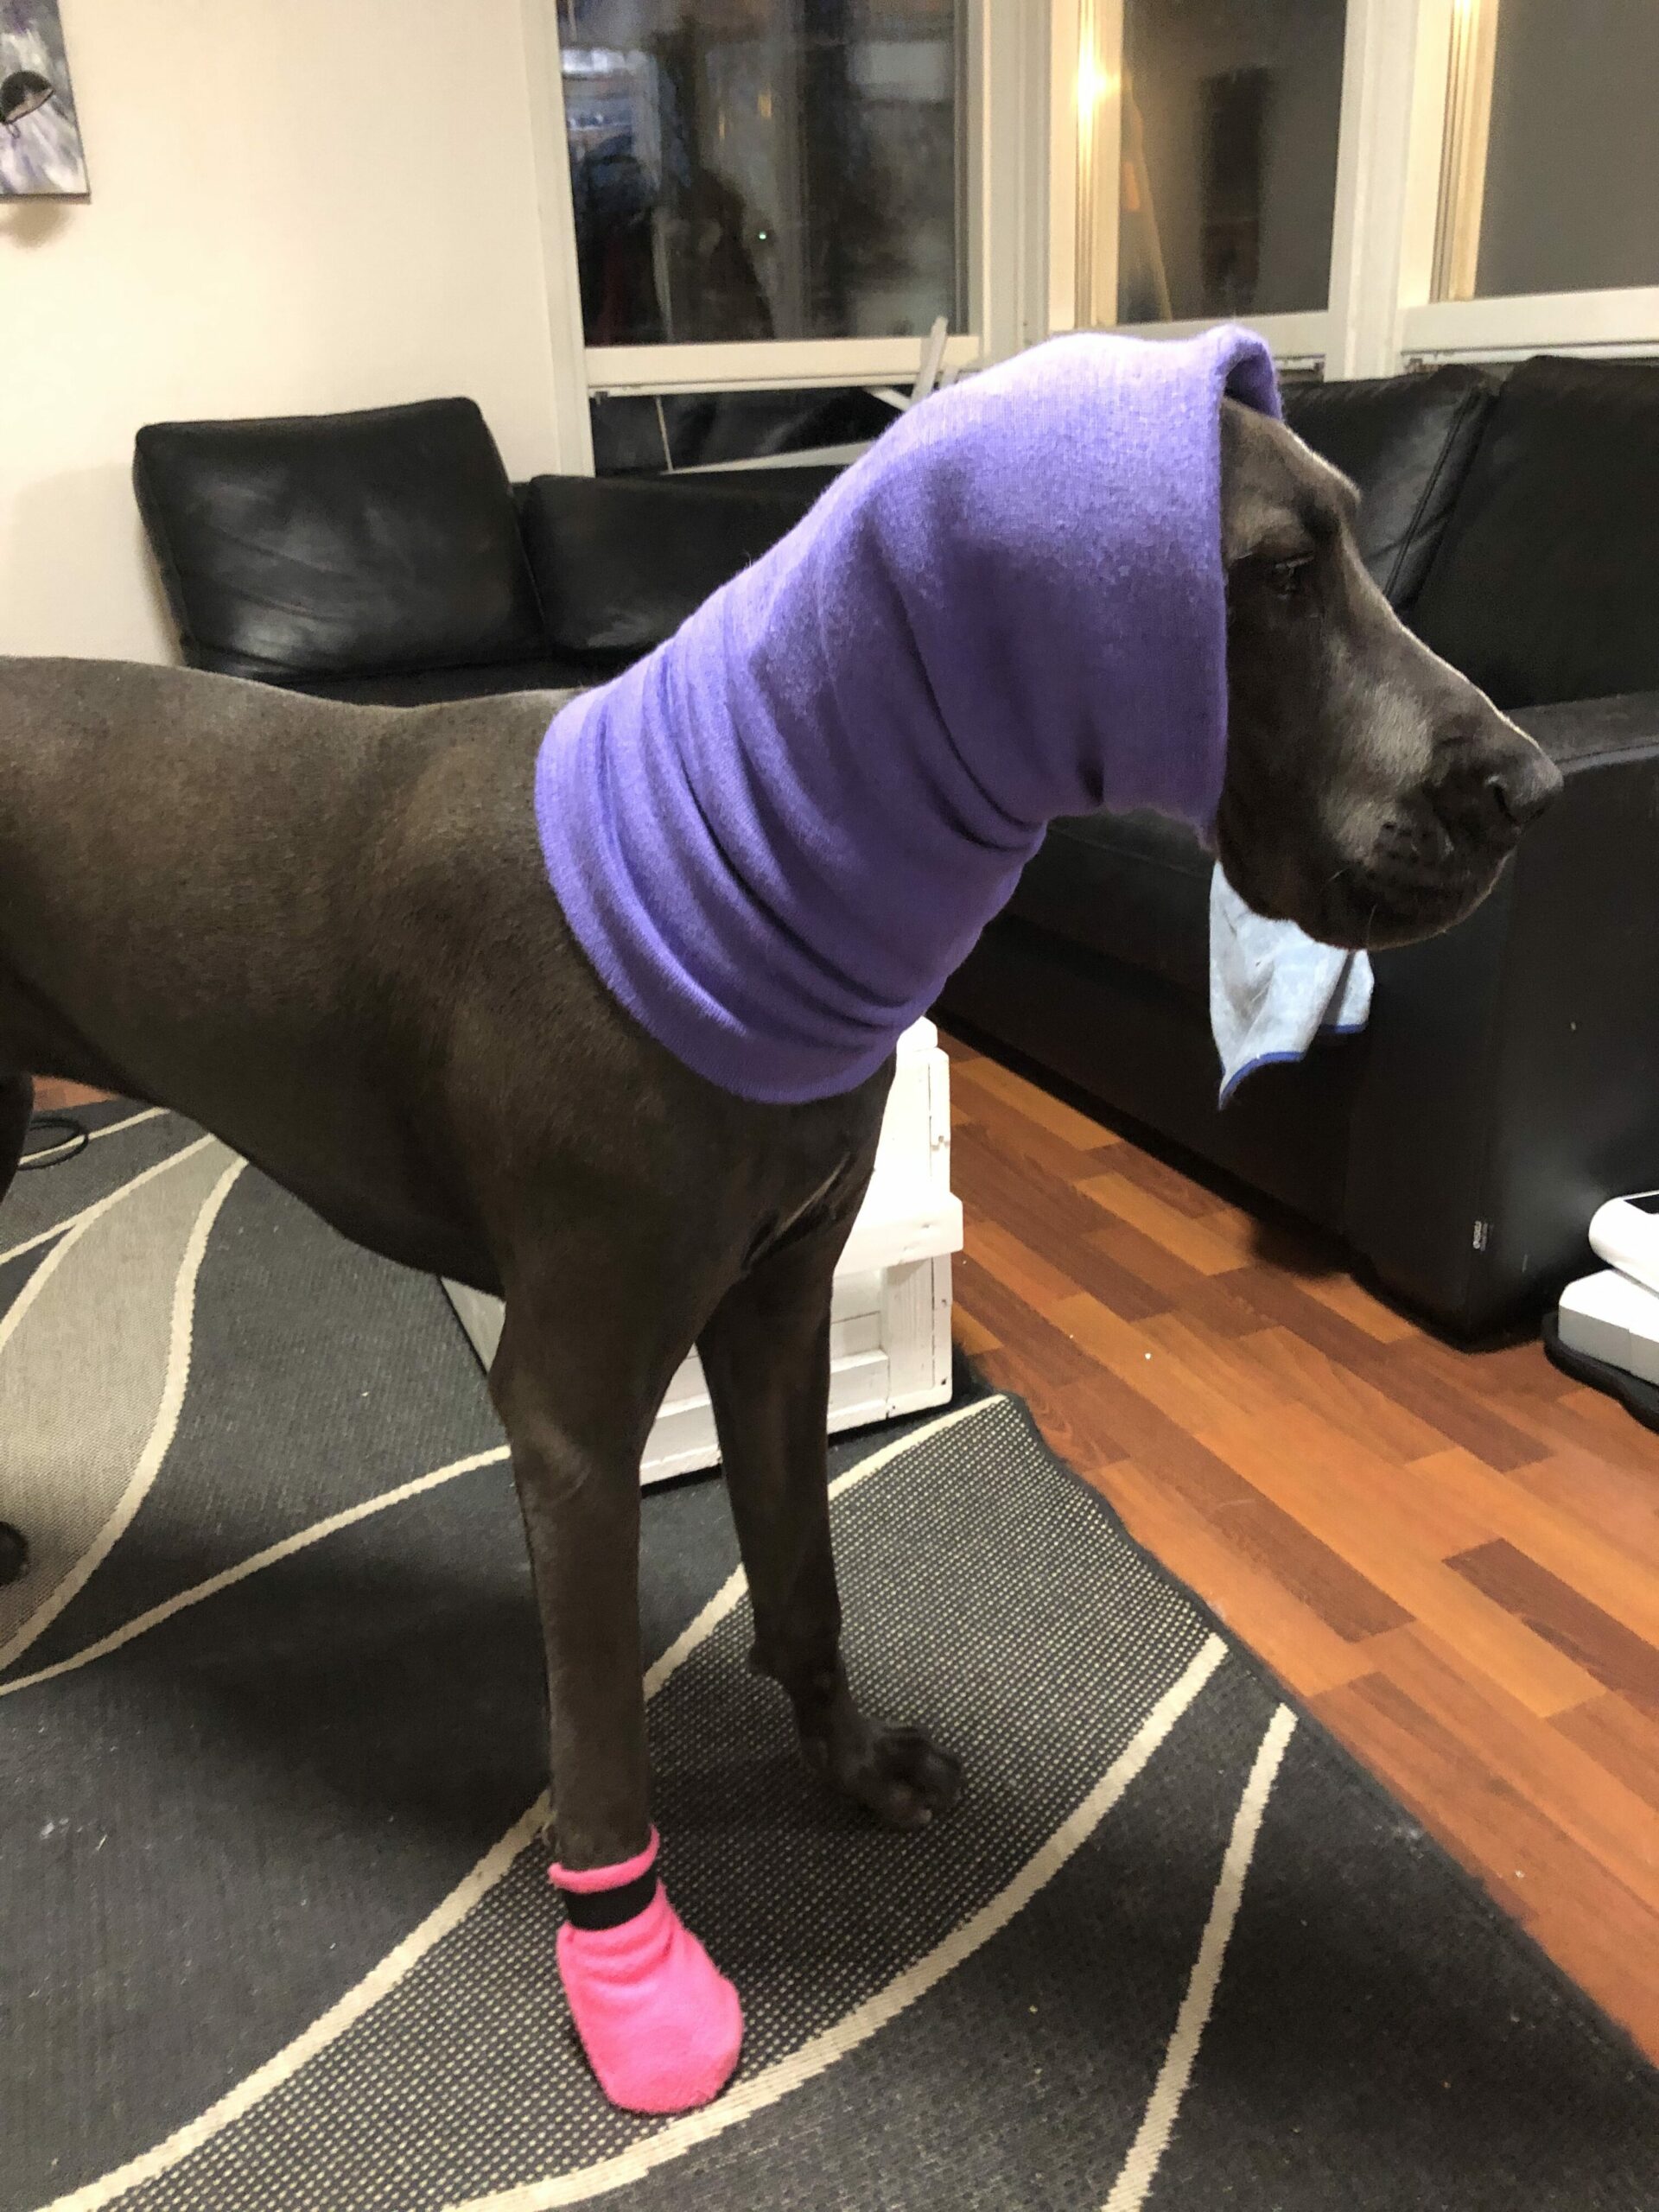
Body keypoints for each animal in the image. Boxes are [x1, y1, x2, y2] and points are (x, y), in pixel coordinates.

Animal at [0, 342, 1559, 2111]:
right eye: (1280, 576)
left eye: (1358, 544)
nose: (1532, 786)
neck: (744, 855)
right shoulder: (572, 1411)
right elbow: (601, 1748)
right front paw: (632, 1984)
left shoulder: (774, 1311)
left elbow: (802, 1573)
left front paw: (849, 1765)